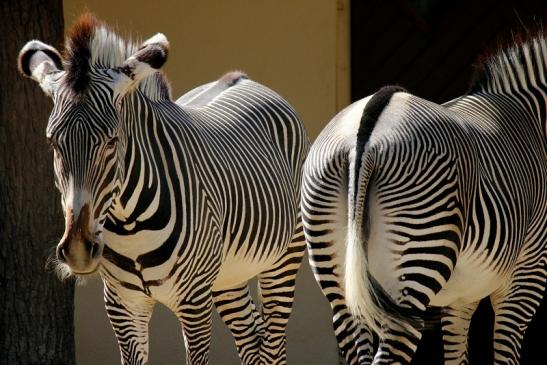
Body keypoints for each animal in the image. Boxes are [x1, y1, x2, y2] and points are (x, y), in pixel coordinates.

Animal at [18, 14, 308, 364]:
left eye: (112, 141)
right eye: (53, 143)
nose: (77, 250)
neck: (129, 227)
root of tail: (242, 78)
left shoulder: (194, 302)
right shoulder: (122, 305)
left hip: (283, 258)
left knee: (273, 346)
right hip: (229, 274)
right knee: (251, 340)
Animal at [304, 32, 547, 362]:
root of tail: (368, 124)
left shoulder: (461, 297)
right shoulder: (526, 276)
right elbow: (505, 353)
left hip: (337, 272)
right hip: (418, 254)